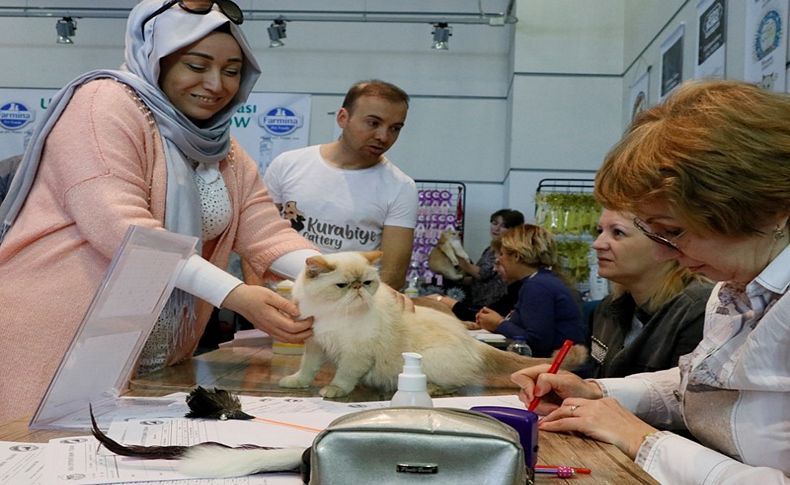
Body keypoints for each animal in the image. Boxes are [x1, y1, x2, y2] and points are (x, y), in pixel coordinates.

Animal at [280, 251, 588, 396]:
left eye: (366, 283)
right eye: (343, 286)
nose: (358, 290)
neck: (332, 314)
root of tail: (472, 342)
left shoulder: (356, 354)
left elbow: (343, 376)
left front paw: (333, 390)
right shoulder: (315, 344)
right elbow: (307, 369)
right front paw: (296, 382)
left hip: (425, 362)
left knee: (451, 386)